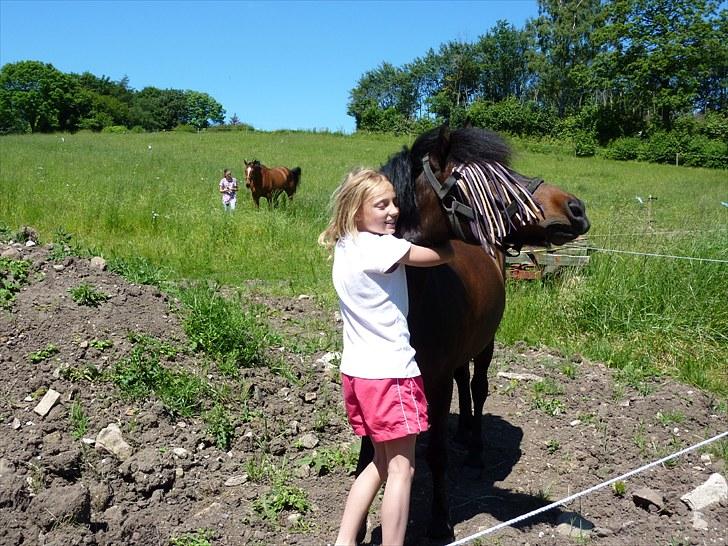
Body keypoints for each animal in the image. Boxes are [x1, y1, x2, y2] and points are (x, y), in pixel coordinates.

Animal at [356, 125, 592, 536]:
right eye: (488, 181)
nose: (575, 208)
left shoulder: (435, 383)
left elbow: (436, 454)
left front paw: (439, 521)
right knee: (463, 380)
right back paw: (464, 428)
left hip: (486, 344)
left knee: (478, 387)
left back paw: (476, 449)